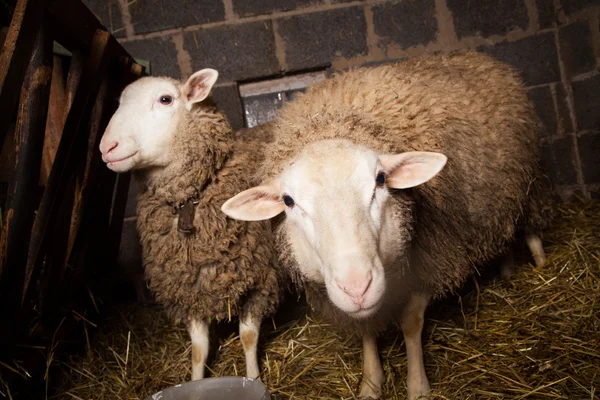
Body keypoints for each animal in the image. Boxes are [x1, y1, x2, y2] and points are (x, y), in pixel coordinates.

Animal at [98, 70, 286, 382]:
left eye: (165, 99)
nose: (106, 148)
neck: (190, 200)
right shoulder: (187, 287)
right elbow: (199, 348)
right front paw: (197, 382)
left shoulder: (261, 280)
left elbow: (248, 337)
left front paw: (254, 379)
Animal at [221, 51, 548, 398]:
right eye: (288, 201)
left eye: (380, 180)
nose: (356, 288)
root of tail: (475, 54)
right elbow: (367, 329)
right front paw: (371, 382)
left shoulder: (430, 262)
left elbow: (411, 323)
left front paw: (418, 386)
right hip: (499, 200)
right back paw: (507, 269)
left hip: (532, 182)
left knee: (531, 230)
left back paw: (542, 265)